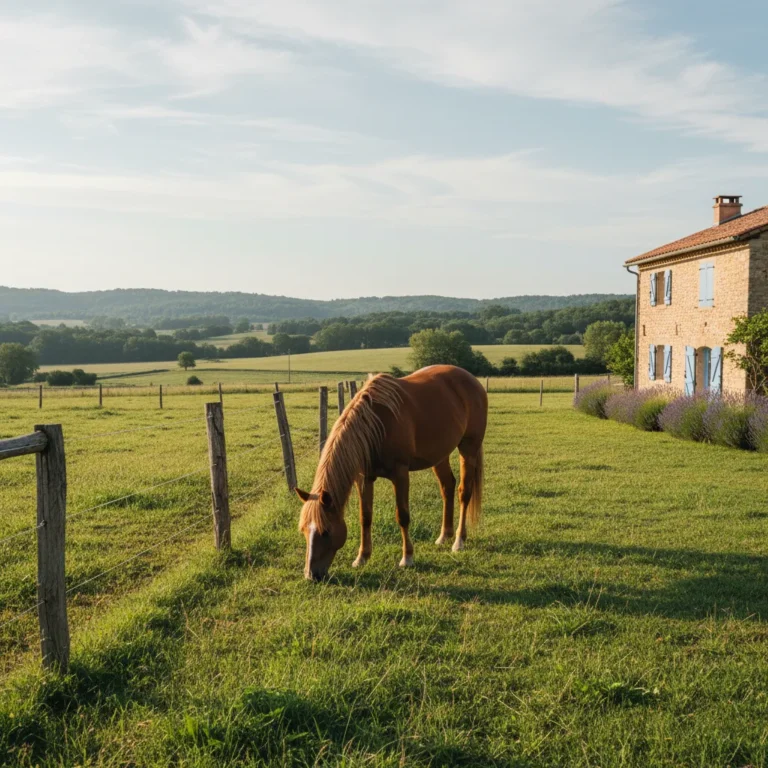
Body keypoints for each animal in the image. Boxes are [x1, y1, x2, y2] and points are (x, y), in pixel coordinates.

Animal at [296, 365, 487, 580]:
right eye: (304, 530)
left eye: (326, 532)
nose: (311, 575)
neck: (376, 425)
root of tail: (471, 379)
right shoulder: (364, 478)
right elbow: (365, 517)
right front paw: (362, 557)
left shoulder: (400, 474)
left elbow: (402, 515)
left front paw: (407, 558)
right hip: (440, 455)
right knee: (448, 487)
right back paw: (444, 536)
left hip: (469, 448)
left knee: (464, 492)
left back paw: (458, 541)